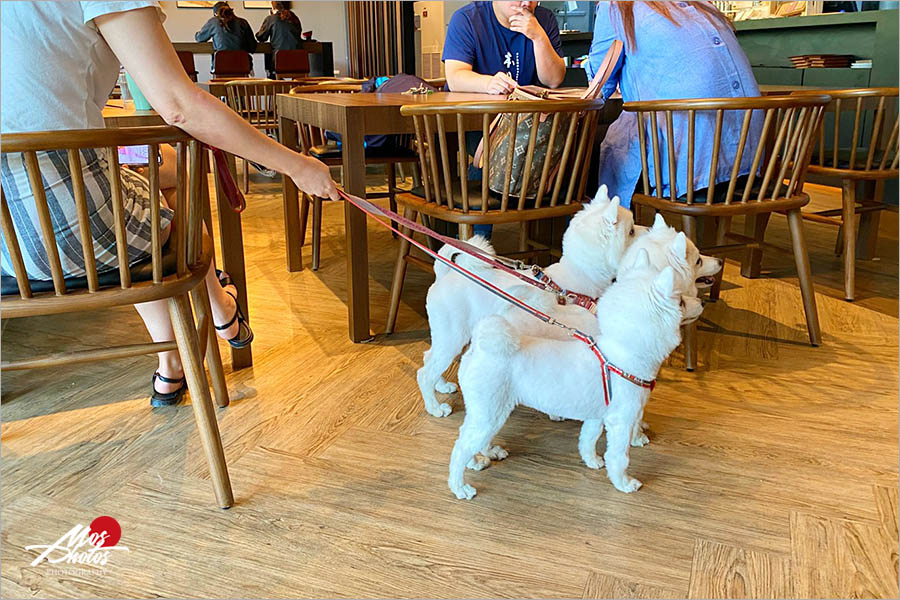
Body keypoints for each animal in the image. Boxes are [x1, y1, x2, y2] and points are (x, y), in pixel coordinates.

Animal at [420, 186, 636, 418]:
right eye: (632, 231)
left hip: (445, 337)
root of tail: (444, 274)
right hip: (452, 336)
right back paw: (434, 407)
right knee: (425, 372)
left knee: (429, 358)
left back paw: (441, 385)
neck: (575, 278)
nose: (647, 229)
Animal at [450, 251, 704, 500]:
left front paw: (592, 461)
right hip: (490, 413)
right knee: (460, 448)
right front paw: (623, 483)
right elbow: (618, 457)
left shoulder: (596, 416)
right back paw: (460, 487)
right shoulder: (621, 421)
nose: (702, 301)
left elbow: (588, 439)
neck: (621, 355)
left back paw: (481, 459)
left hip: (490, 412)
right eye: (680, 301)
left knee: (470, 439)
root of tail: (480, 347)